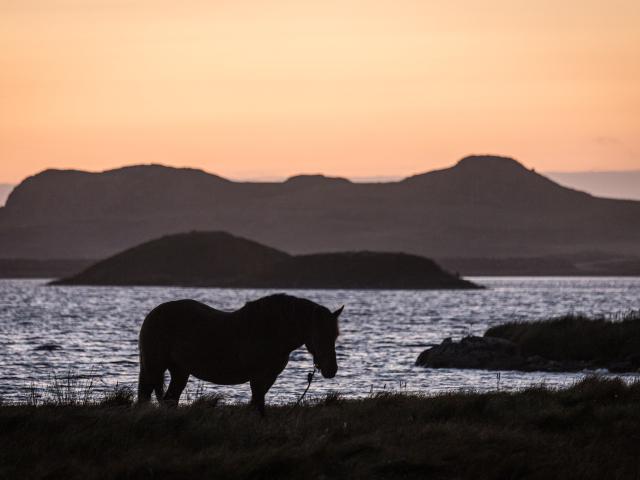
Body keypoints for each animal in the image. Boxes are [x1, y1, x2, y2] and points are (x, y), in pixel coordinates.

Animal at [138, 292, 342, 412]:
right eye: (319, 335)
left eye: (335, 335)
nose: (331, 370)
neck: (270, 330)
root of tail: (152, 314)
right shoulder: (258, 377)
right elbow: (258, 406)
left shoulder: (269, 377)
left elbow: (256, 404)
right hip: (154, 367)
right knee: (146, 397)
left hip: (180, 371)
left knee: (169, 400)